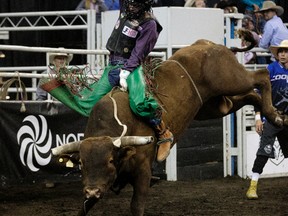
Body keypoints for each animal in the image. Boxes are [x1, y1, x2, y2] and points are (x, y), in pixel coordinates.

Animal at [52, 39, 286, 216]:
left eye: (110, 160)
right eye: (82, 163)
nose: (92, 191)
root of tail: (208, 44)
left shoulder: (142, 171)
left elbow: (136, 206)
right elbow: (84, 208)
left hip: (231, 79)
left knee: (261, 76)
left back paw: (275, 115)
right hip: (213, 106)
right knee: (250, 95)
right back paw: (273, 115)